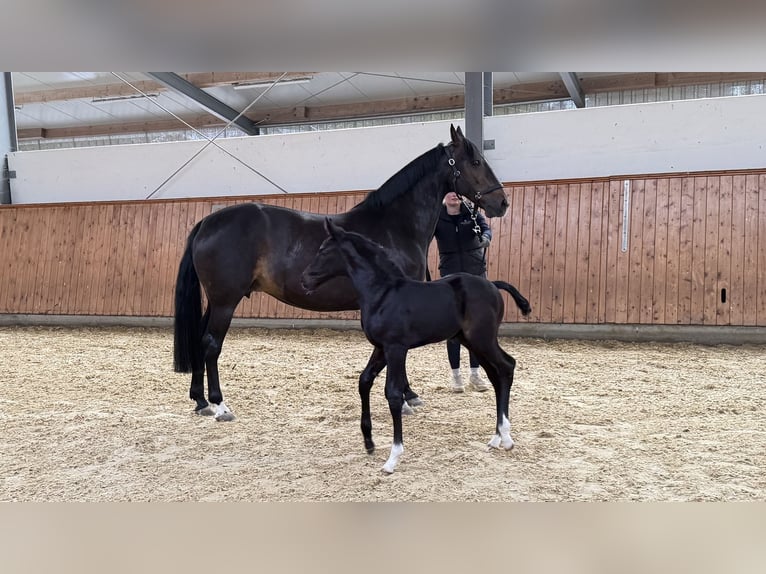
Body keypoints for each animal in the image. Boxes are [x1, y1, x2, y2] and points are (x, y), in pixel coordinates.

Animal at [173, 124, 510, 421]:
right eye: (476, 162)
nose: (502, 203)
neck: (394, 226)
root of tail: (208, 221)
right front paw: (406, 398)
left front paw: (409, 395)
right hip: (225, 301)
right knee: (211, 345)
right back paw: (219, 405)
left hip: (217, 301)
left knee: (200, 340)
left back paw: (200, 401)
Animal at [301, 218, 531, 474]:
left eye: (323, 250)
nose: (304, 279)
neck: (382, 293)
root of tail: (492, 285)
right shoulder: (381, 348)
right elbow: (364, 381)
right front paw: (369, 442)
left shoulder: (396, 348)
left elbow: (392, 394)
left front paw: (392, 458)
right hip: (472, 342)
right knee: (495, 374)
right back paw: (496, 437)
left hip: (483, 339)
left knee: (507, 366)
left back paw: (507, 438)